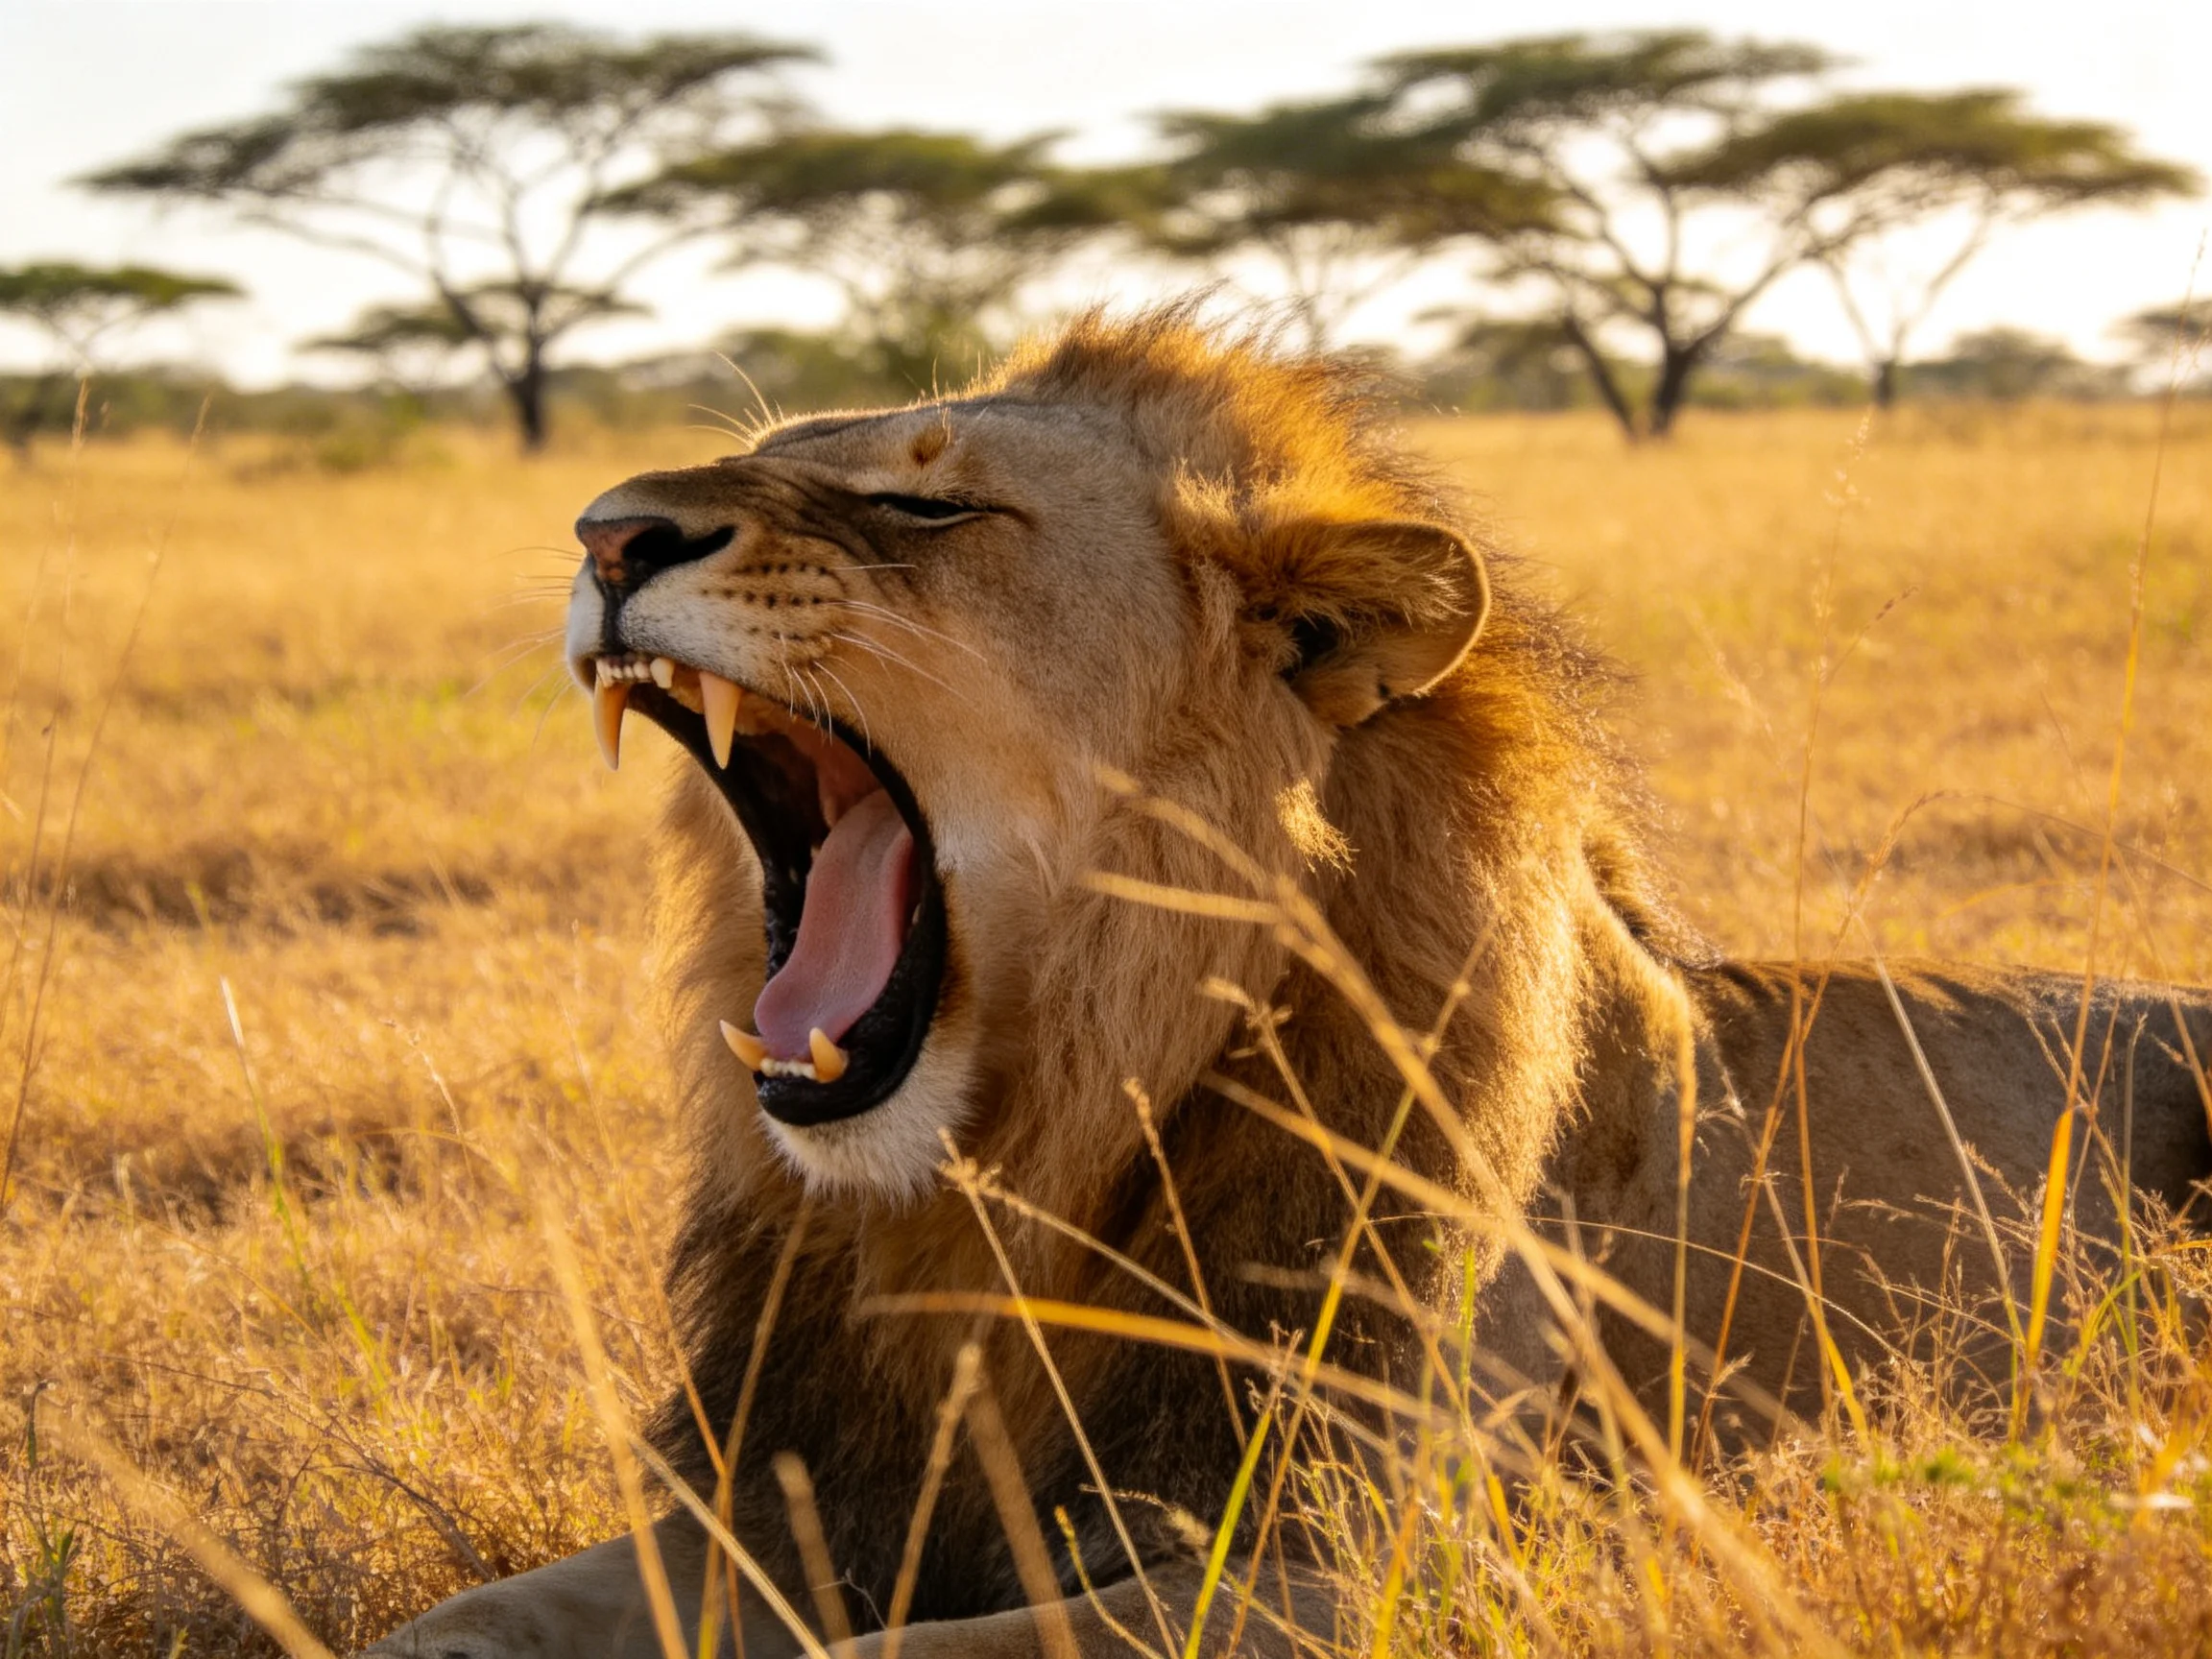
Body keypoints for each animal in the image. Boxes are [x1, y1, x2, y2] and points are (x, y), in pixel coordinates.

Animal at [370, 306, 2212, 1659]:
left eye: (924, 504)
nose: (608, 532)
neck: (1000, 1179)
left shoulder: (1363, 1554)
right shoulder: (770, 1500)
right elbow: (459, 1619)